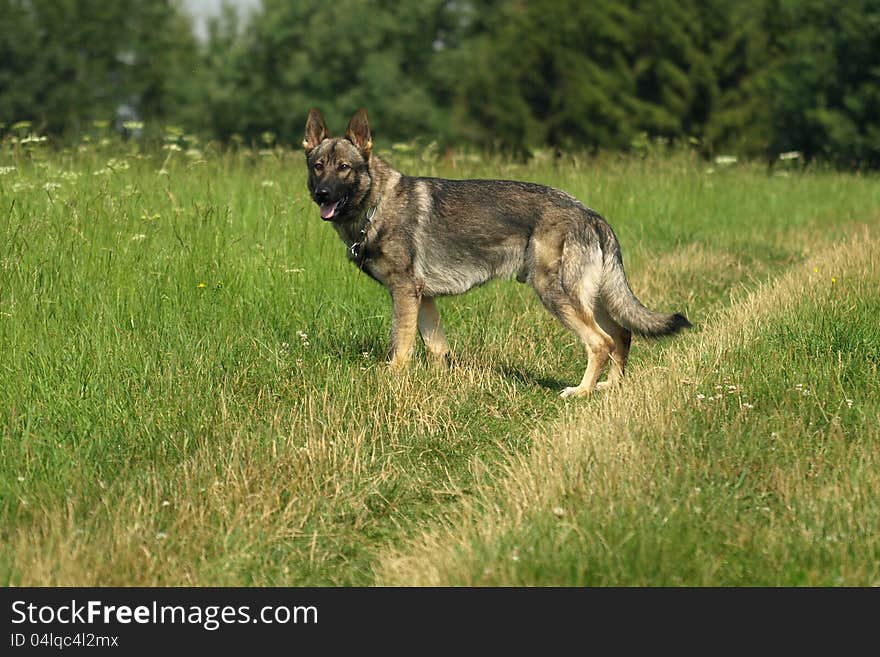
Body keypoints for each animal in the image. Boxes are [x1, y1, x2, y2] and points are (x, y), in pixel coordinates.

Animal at [306, 108, 692, 398]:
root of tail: (592, 215)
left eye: (344, 168)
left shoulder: (404, 294)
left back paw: (580, 391)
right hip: (591, 297)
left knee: (600, 342)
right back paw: (609, 388)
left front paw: (392, 381)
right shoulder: (423, 299)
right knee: (621, 336)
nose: (322, 194)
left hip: (557, 295)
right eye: (317, 166)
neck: (376, 205)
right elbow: (437, 348)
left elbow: (400, 347)